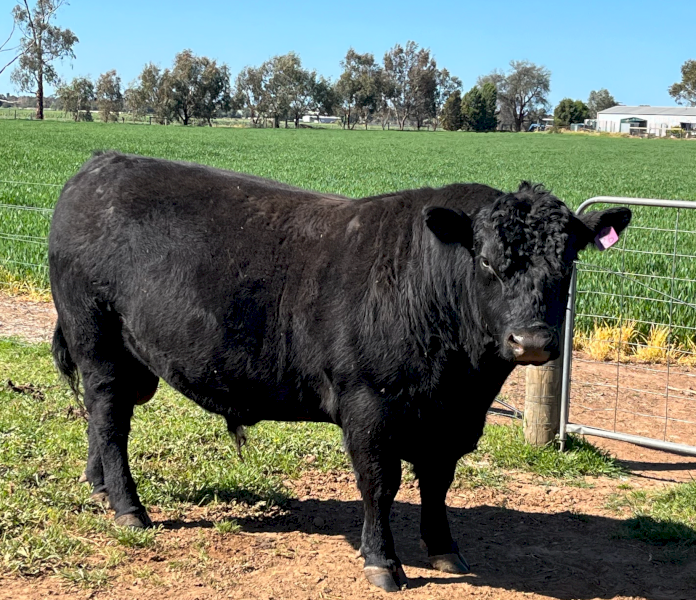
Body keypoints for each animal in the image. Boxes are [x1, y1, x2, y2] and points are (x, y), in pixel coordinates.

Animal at [49, 152, 631, 592]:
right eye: (487, 261)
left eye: (568, 261)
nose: (531, 341)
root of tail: (98, 165)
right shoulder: (369, 407)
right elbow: (380, 483)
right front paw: (383, 562)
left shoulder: (451, 421)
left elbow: (437, 481)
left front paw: (444, 548)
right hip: (96, 341)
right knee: (109, 418)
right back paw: (128, 507)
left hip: (130, 360)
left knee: (103, 418)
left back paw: (97, 486)